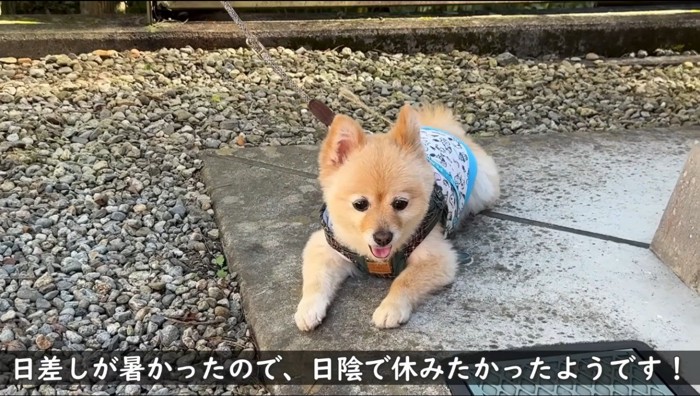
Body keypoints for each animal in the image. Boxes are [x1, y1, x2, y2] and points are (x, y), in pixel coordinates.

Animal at [292, 103, 500, 332]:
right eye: (360, 204)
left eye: (401, 204)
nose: (383, 238)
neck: (378, 259)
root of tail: (441, 127)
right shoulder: (326, 246)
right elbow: (316, 280)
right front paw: (308, 309)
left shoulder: (438, 257)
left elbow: (404, 281)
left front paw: (390, 308)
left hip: (482, 189)